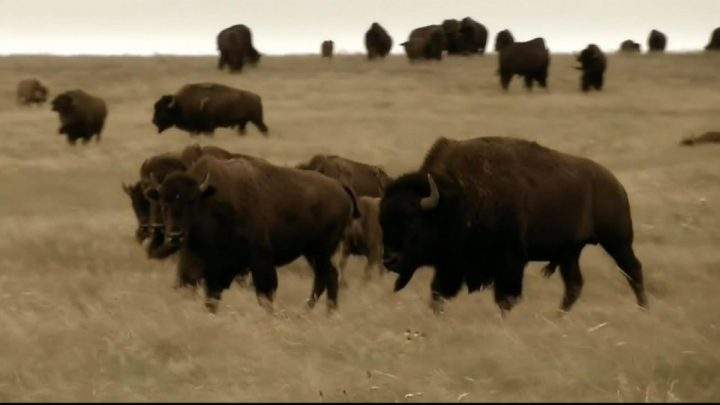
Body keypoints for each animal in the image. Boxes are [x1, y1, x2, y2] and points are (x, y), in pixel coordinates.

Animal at [146, 155, 358, 313]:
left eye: (191, 201)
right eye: (163, 204)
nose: (175, 236)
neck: (210, 200)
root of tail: (340, 187)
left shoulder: (260, 260)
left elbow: (265, 295)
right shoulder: (201, 268)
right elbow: (210, 297)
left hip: (320, 251)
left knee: (327, 276)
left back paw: (322, 312)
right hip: (312, 253)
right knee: (326, 277)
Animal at [380, 136, 647, 315]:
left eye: (412, 221)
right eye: (383, 221)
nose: (389, 260)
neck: (457, 195)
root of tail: (615, 183)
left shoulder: (510, 262)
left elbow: (506, 299)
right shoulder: (451, 266)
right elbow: (438, 294)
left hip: (617, 241)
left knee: (633, 270)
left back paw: (643, 308)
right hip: (570, 252)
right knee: (574, 285)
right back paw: (558, 316)